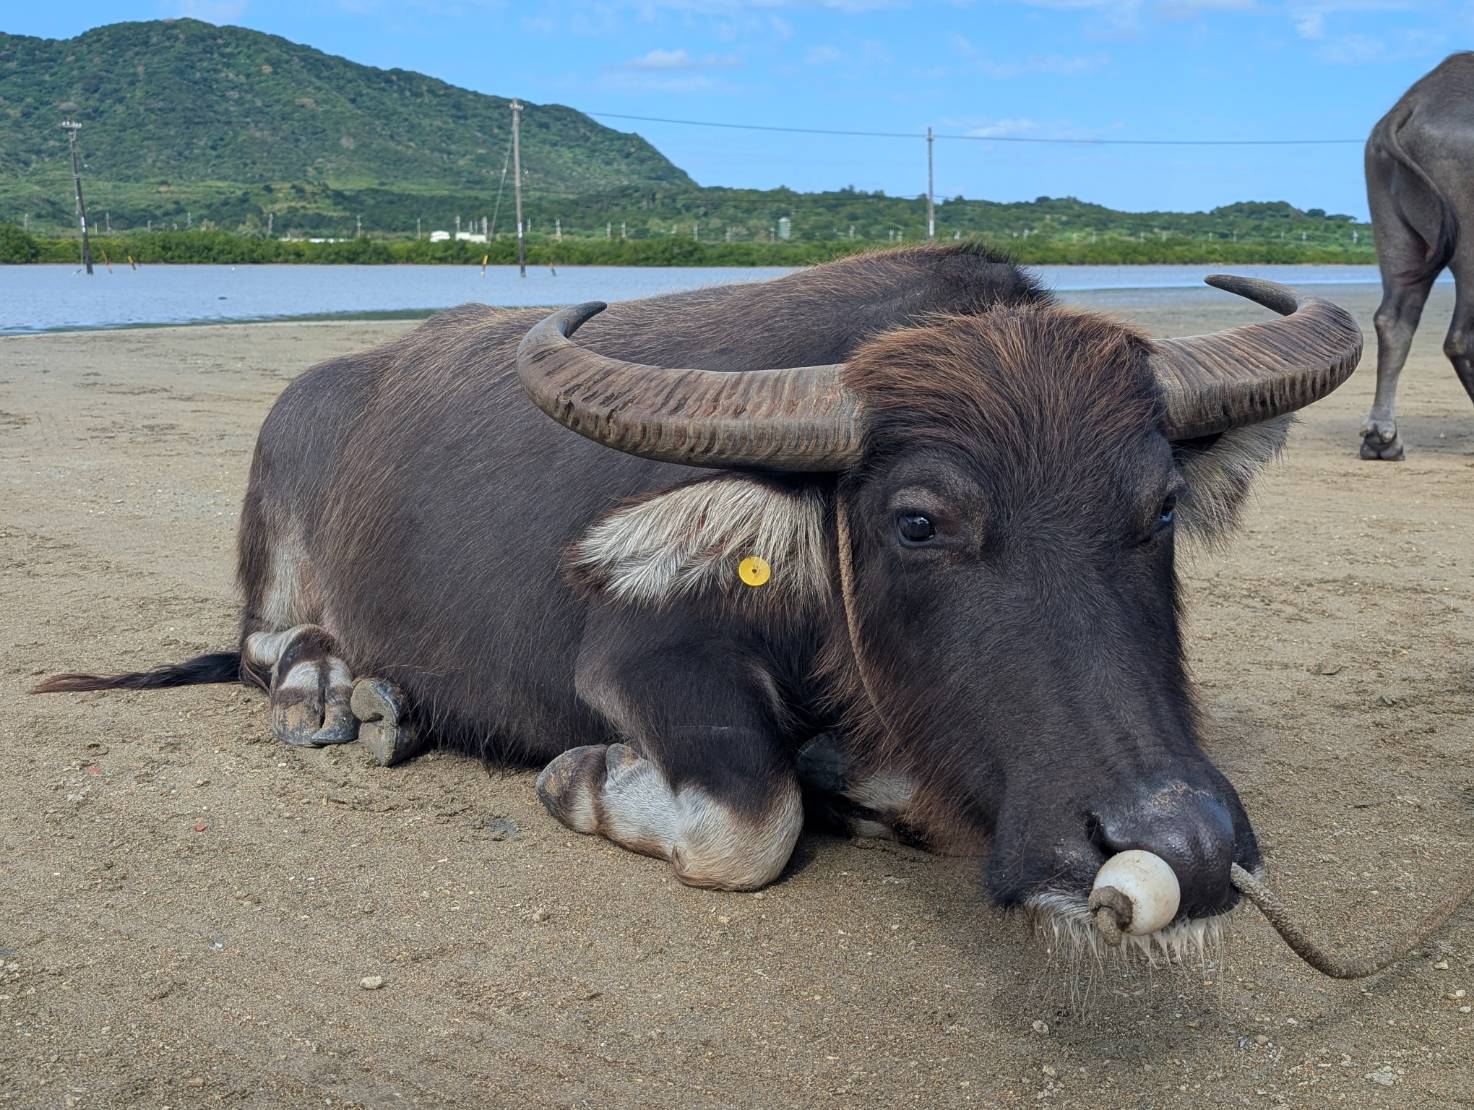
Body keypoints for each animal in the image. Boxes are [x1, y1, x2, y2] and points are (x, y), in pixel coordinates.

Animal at [37, 244, 1361, 948]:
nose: (1182, 845)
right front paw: (582, 779)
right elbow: (749, 819)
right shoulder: (635, 661)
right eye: (917, 521)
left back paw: (392, 704)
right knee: (260, 643)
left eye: (1158, 510)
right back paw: (330, 693)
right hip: (272, 520)